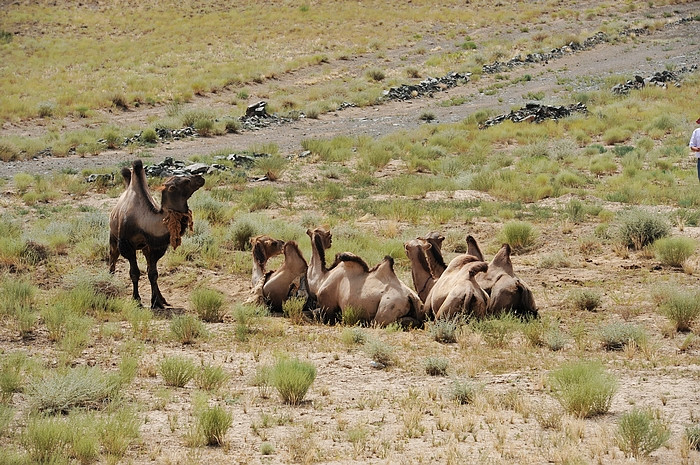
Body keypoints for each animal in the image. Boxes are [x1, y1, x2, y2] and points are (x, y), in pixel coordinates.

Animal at [108, 160, 204, 308]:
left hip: (144, 247)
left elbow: (153, 274)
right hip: (113, 237)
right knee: (113, 257)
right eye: (187, 181)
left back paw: (162, 299)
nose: (200, 177)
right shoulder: (126, 245)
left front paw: (157, 301)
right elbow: (134, 273)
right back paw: (110, 280)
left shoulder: (155, 246)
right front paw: (136, 299)